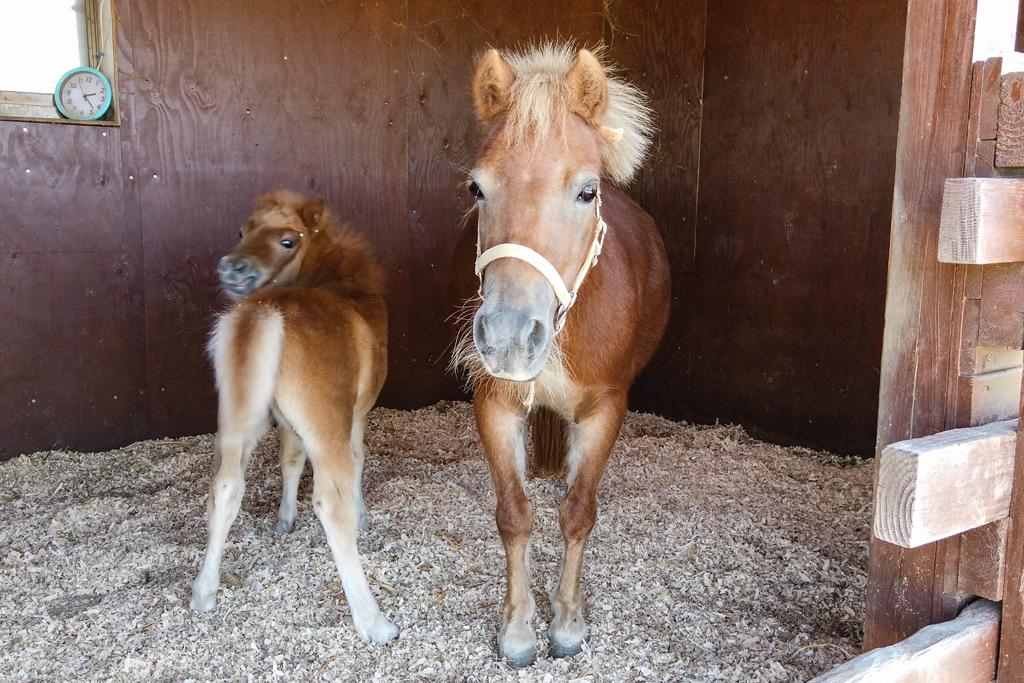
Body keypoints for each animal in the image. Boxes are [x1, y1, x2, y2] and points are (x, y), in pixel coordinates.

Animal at [190, 192, 397, 647]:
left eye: (288, 240)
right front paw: (365, 519)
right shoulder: (355, 416)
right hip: (326, 429)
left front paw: (284, 521)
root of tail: (267, 311)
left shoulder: (287, 423)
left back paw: (203, 593)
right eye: (242, 231)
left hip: (236, 422)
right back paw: (373, 621)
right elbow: (358, 462)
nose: (233, 268)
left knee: (224, 489)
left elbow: (289, 462)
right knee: (331, 503)